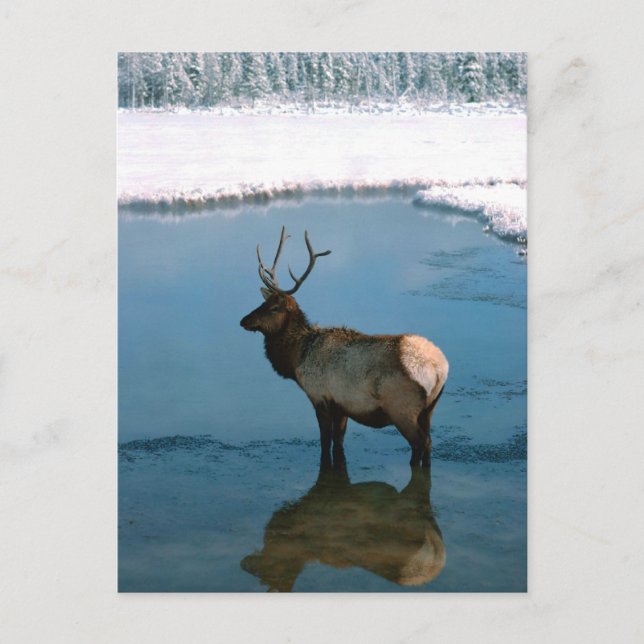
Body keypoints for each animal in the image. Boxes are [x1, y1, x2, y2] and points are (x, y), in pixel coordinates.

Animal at [239, 226, 448, 467]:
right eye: (263, 302)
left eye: (274, 308)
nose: (244, 320)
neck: (297, 357)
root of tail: (440, 368)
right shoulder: (342, 405)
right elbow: (338, 443)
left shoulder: (319, 396)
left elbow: (325, 442)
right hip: (429, 409)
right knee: (430, 443)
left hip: (402, 408)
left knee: (420, 443)